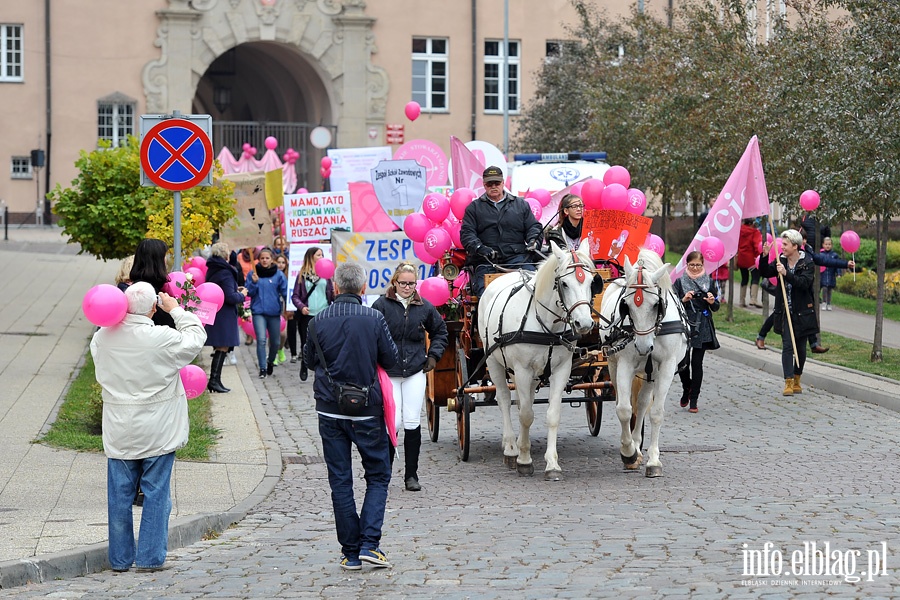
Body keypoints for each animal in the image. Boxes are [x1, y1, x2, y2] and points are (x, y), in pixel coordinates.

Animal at [478, 241, 596, 480]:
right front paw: (523, 459)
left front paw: (552, 464)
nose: (585, 323)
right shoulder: (522, 369)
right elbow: (525, 415)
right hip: (494, 362)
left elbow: (551, 415)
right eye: (564, 284)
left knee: (524, 401)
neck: (547, 325)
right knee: (504, 400)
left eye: (591, 282)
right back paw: (511, 448)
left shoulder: (561, 370)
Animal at [596, 248, 688, 478]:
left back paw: (638, 445)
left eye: (656, 305)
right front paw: (628, 453)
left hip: (650, 373)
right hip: (613, 362)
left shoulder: (666, 367)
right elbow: (623, 409)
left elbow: (655, 412)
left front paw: (653, 460)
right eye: (626, 306)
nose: (644, 347)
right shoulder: (625, 364)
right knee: (626, 402)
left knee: (643, 402)